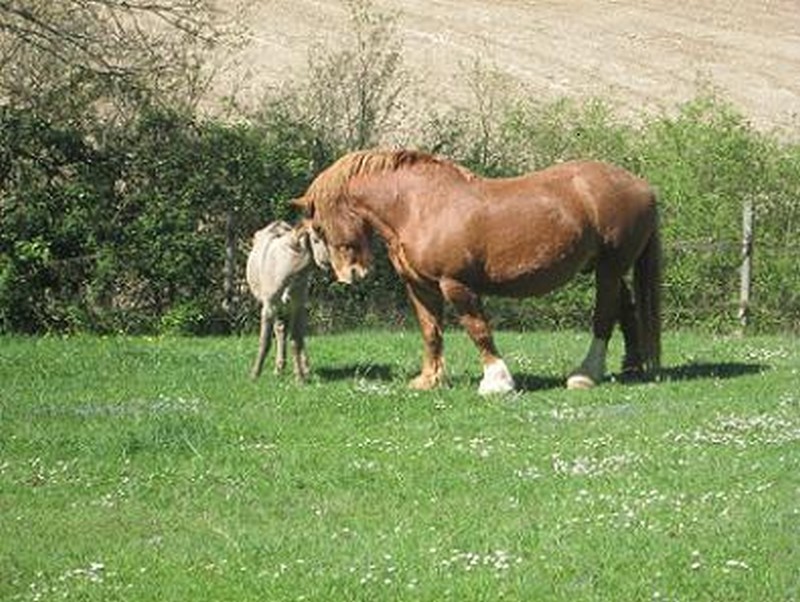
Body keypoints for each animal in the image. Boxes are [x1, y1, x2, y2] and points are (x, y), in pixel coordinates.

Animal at [294, 149, 664, 392]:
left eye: (319, 227)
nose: (351, 274)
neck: (420, 205)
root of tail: (643, 186)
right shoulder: (421, 287)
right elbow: (431, 331)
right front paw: (429, 380)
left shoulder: (456, 284)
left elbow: (478, 329)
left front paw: (497, 382)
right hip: (610, 268)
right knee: (626, 311)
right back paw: (630, 368)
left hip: (610, 269)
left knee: (605, 315)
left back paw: (585, 374)